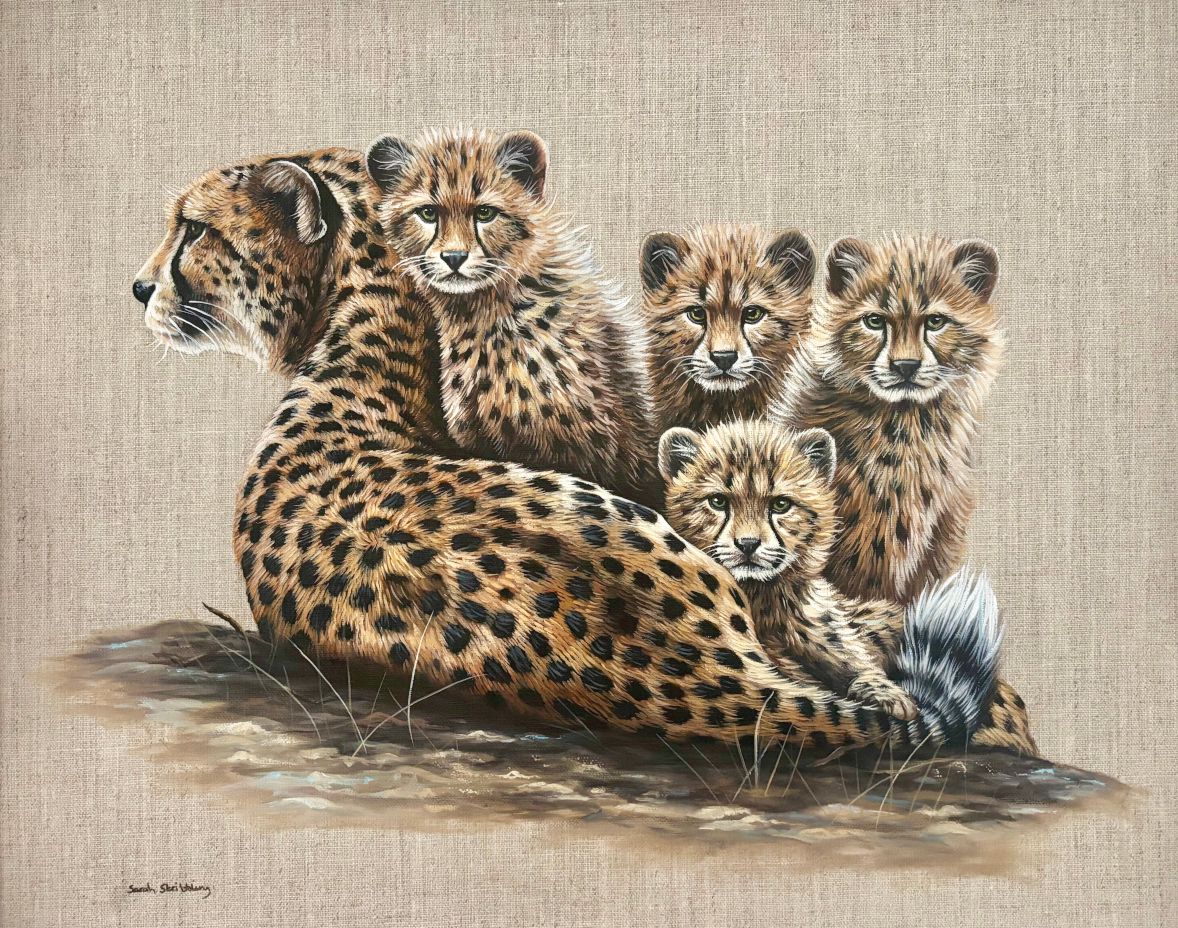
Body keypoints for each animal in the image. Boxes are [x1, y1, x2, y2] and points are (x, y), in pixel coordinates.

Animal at [659, 418, 1037, 753]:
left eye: (780, 504)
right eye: (718, 501)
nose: (748, 545)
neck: (763, 595)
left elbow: (850, 656)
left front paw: (886, 693)